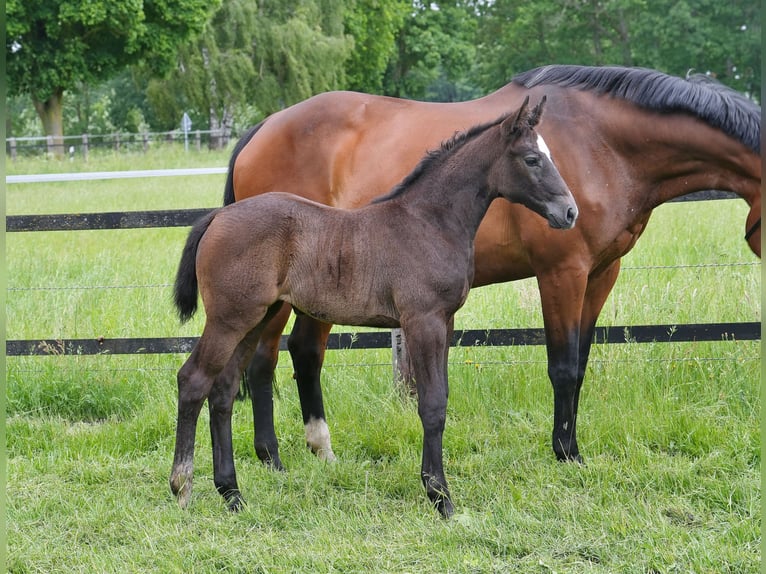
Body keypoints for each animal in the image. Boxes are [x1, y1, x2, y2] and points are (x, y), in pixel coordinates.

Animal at [170, 98, 578, 516]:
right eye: (532, 159)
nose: (569, 212)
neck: (429, 222)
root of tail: (217, 216)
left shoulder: (445, 322)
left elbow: (441, 398)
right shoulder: (423, 320)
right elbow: (432, 404)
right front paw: (440, 496)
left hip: (255, 318)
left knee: (223, 389)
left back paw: (231, 493)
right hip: (229, 318)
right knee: (194, 380)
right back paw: (183, 487)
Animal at [227, 64, 761, 472]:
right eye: (533, 160)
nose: (567, 212)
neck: (602, 142)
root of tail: (262, 129)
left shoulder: (601, 274)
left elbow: (581, 364)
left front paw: (571, 447)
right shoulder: (562, 272)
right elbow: (563, 366)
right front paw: (565, 453)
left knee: (305, 353)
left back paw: (322, 450)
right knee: (264, 360)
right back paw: (271, 457)